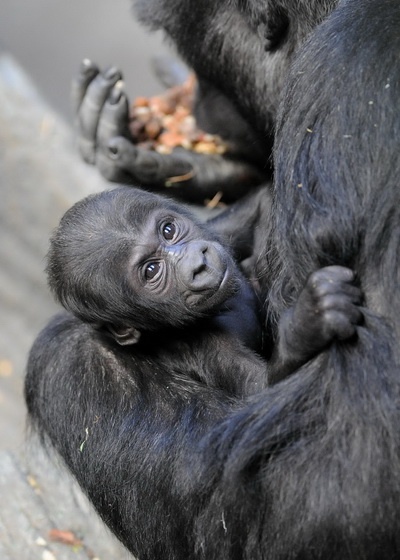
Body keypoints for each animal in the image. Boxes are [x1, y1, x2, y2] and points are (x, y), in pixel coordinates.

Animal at [47, 186, 362, 392]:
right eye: (151, 270)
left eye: (168, 230)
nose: (197, 264)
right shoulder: (202, 346)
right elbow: (260, 389)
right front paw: (308, 323)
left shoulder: (218, 232)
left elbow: (260, 201)